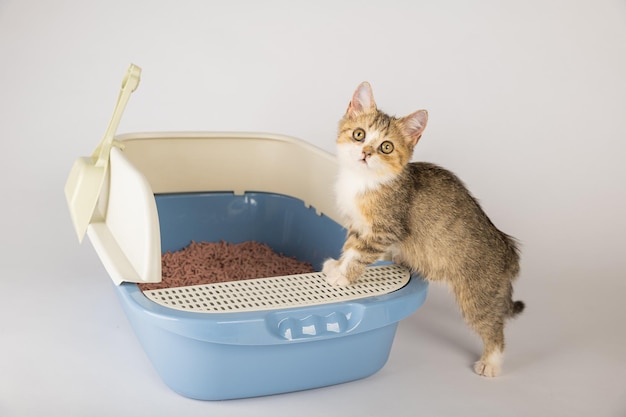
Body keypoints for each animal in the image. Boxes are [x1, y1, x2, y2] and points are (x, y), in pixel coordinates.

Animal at [322, 81, 520, 376]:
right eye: (359, 134)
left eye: (386, 147)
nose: (366, 153)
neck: (364, 181)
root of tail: (509, 251)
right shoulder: (358, 224)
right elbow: (350, 246)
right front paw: (337, 265)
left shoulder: (386, 228)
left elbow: (360, 253)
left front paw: (343, 276)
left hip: (478, 293)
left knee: (493, 326)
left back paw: (491, 362)